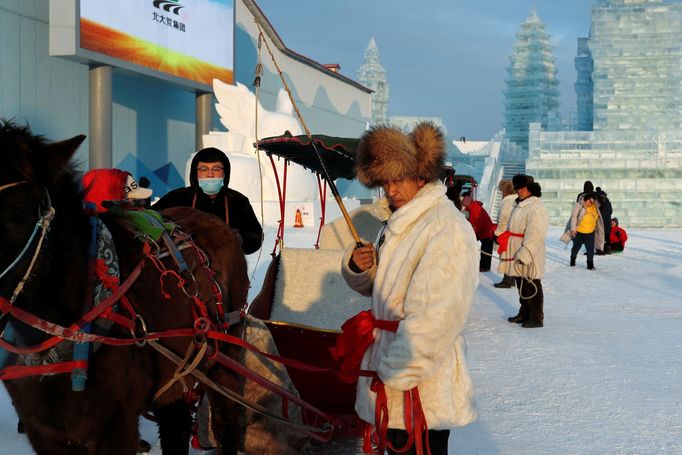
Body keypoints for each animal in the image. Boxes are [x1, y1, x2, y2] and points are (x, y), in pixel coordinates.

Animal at [0, 119, 250, 454]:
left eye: (18, 212)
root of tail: (217, 222)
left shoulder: (114, 427)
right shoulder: (43, 431)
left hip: (224, 360)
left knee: (226, 422)